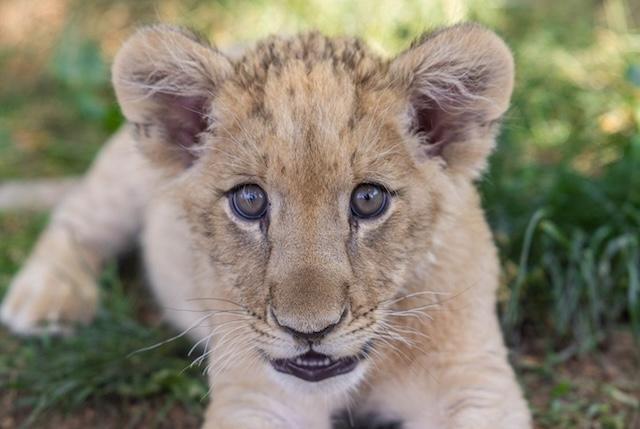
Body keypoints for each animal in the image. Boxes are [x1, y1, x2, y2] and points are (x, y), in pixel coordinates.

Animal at [0, 23, 532, 428]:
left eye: (368, 200)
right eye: (250, 201)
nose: (309, 331)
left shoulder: (474, 381)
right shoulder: (258, 397)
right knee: (77, 216)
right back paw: (46, 301)